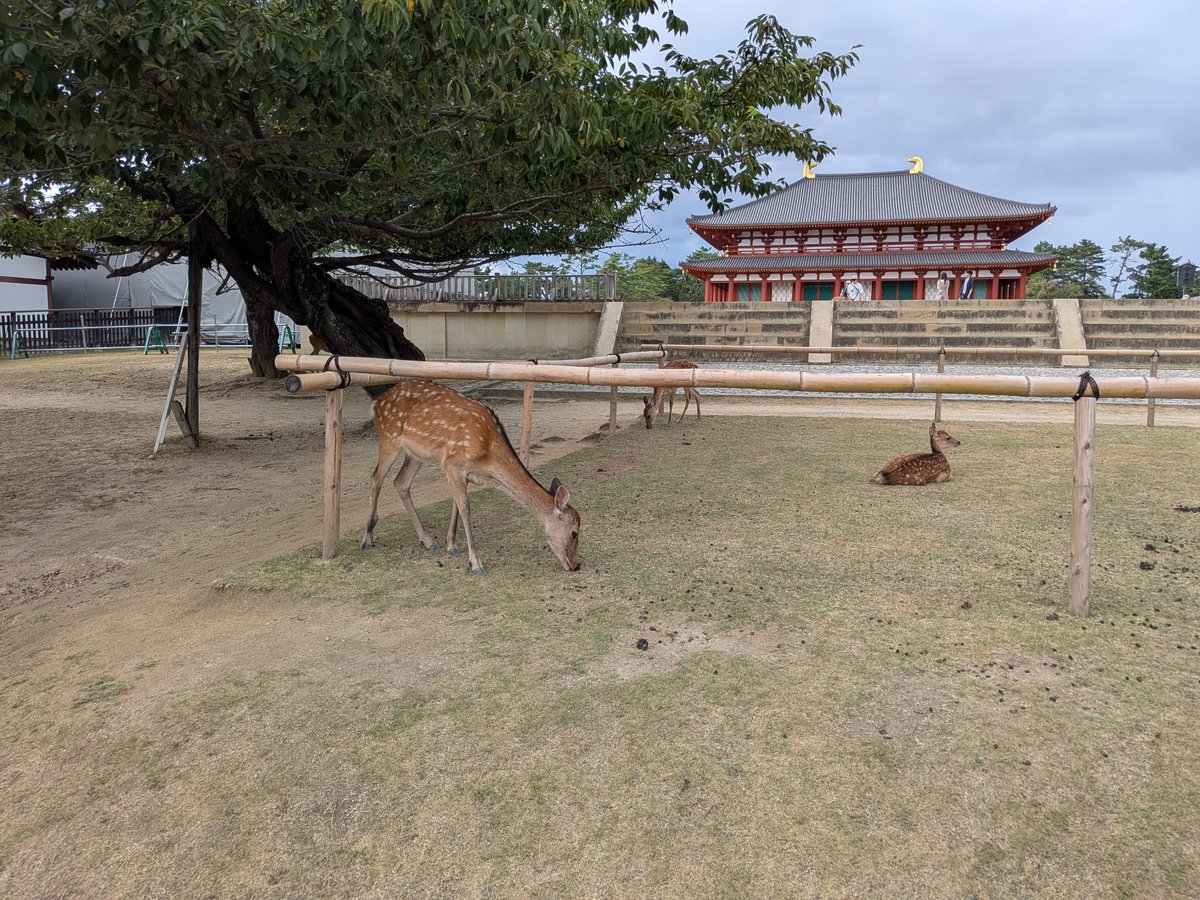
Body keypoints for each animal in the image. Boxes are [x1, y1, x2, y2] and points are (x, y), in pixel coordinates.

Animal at [360, 379, 581, 574]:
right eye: (574, 532)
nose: (576, 564)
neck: (488, 457)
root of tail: (376, 402)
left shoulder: (464, 473)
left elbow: (456, 505)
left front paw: (451, 545)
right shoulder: (452, 464)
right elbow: (465, 508)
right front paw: (475, 563)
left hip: (416, 454)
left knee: (400, 482)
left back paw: (428, 541)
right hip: (389, 438)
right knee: (375, 479)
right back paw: (367, 538)